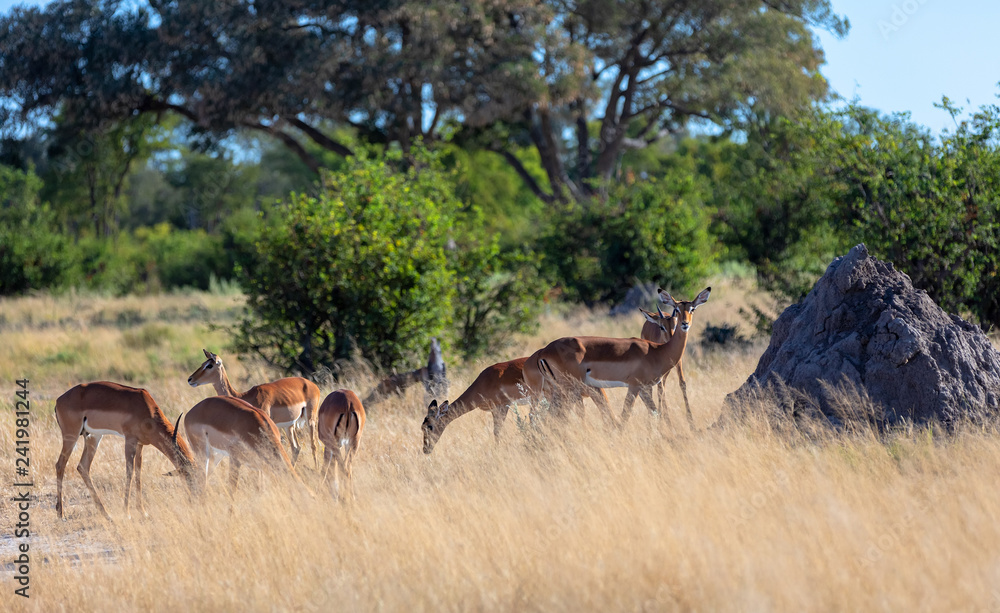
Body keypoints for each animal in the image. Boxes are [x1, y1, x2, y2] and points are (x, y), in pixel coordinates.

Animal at [54, 381, 198, 520]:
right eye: (189, 476)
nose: (196, 498)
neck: (147, 409)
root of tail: (59, 400)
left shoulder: (140, 445)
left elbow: (138, 473)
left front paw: (143, 512)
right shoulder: (130, 441)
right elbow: (129, 472)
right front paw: (127, 513)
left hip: (93, 436)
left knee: (82, 467)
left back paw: (106, 514)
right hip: (71, 436)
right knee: (60, 465)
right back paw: (61, 514)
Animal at [188, 350, 321, 467]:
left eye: (209, 365)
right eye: (202, 364)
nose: (190, 379)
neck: (245, 396)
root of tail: (311, 384)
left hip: (311, 419)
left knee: (314, 445)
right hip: (289, 425)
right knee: (296, 448)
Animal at [524, 288, 711, 427]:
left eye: (692, 309)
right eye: (677, 310)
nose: (685, 324)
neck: (657, 351)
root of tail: (543, 352)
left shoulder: (644, 388)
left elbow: (654, 413)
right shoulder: (635, 386)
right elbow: (625, 417)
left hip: (558, 390)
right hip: (568, 389)